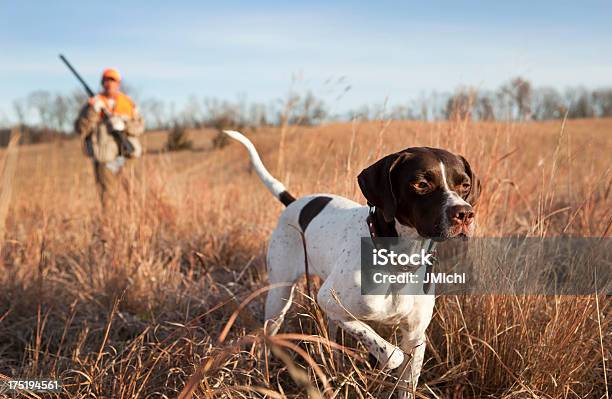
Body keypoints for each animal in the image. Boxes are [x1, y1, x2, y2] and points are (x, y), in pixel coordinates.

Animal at [222, 130, 480, 396]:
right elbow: (388, 351)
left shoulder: (415, 336)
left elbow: (405, 379)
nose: (465, 213)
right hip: (279, 298)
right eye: (421, 184)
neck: (399, 263)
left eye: (465, 185)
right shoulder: (328, 299)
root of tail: (293, 203)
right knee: (268, 336)